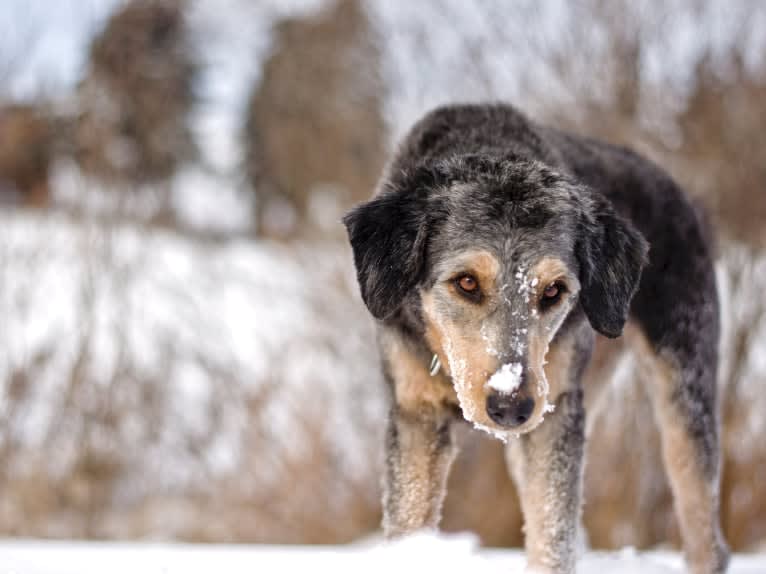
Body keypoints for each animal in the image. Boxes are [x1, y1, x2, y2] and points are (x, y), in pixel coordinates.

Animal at [344, 104, 732, 574]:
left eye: (553, 291)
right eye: (467, 282)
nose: (511, 405)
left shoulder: (557, 411)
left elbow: (552, 535)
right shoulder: (415, 411)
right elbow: (410, 525)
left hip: (682, 386)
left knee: (703, 529)